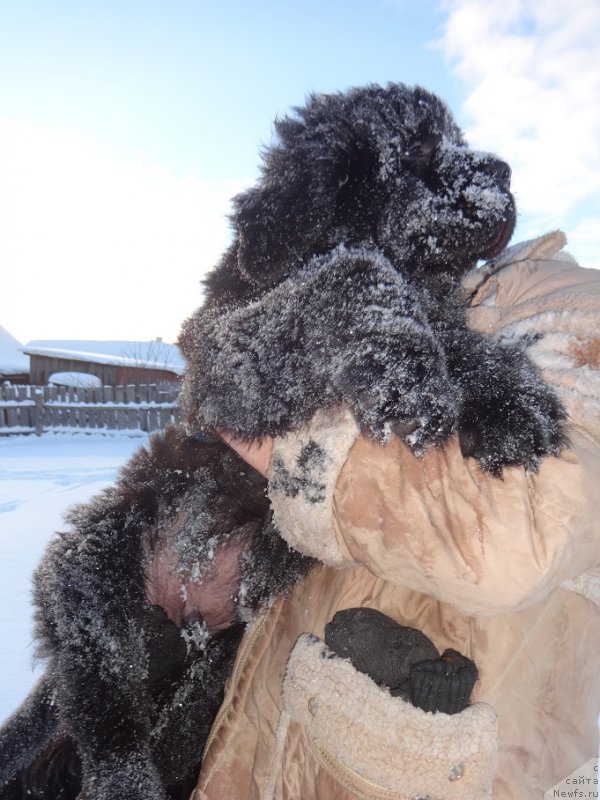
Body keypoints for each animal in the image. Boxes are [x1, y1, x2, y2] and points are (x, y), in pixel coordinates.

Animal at [0, 83, 564, 800]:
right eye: (418, 148)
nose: (505, 174)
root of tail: (181, 612)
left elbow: (457, 338)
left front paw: (514, 402)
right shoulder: (224, 360)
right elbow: (347, 278)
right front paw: (412, 380)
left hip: (217, 656)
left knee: (171, 726)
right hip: (96, 568)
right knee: (108, 715)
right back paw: (125, 782)